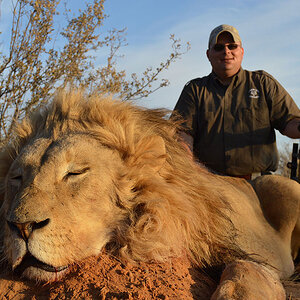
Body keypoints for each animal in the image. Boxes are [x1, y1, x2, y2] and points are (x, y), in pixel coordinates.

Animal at [0, 90, 298, 298]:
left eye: (75, 173)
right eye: (17, 178)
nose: (22, 227)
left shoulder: (251, 253)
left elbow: (246, 270)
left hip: (283, 185)